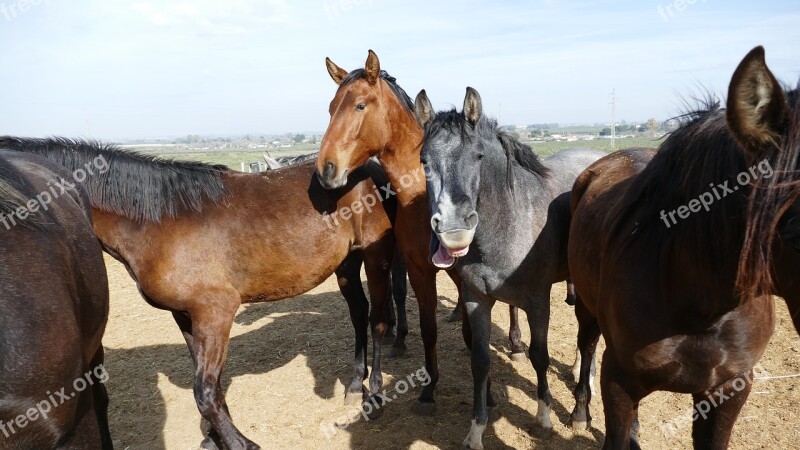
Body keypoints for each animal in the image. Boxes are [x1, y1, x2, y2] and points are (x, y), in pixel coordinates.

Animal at [316, 51, 536, 414]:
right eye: (331, 107)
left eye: (360, 106)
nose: (326, 169)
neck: (421, 194)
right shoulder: (419, 270)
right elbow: (429, 328)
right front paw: (429, 389)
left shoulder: (465, 275)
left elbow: (475, 334)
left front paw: (488, 394)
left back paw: (517, 343)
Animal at [416, 86, 604, 448]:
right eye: (424, 162)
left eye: (478, 156)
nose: (454, 229)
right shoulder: (476, 300)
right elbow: (480, 361)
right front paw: (476, 431)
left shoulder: (538, 301)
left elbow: (539, 356)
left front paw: (543, 418)